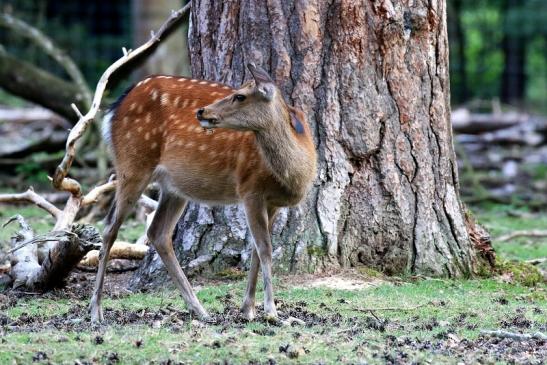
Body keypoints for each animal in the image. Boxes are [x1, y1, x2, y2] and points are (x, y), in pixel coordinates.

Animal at [92, 63, 316, 322]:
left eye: (240, 96)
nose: (201, 112)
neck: (295, 176)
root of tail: (115, 106)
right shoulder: (250, 189)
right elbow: (265, 249)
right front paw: (271, 312)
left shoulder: (274, 203)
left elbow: (256, 251)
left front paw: (248, 309)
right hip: (133, 163)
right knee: (110, 228)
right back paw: (95, 311)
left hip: (173, 186)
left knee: (158, 232)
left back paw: (199, 310)